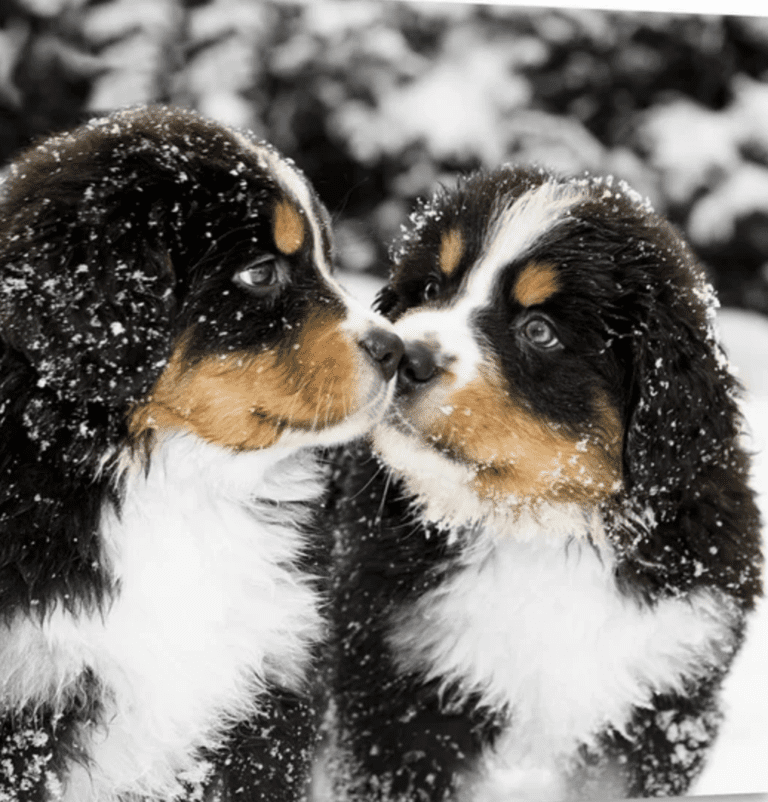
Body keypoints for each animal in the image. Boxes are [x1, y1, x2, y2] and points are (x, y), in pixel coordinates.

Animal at [328, 166, 764, 796]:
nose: (406, 355)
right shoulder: (402, 695)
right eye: (431, 288)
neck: (539, 528)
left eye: (540, 331)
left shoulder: (664, 700)